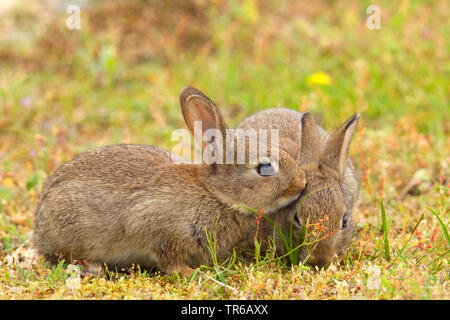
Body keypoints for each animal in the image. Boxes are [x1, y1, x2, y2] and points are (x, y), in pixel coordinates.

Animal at [31, 87, 306, 276]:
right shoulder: (157, 229)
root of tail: (39, 224)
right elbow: (169, 260)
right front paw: (192, 274)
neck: (216, 195)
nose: (302, 181)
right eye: (265, 167)